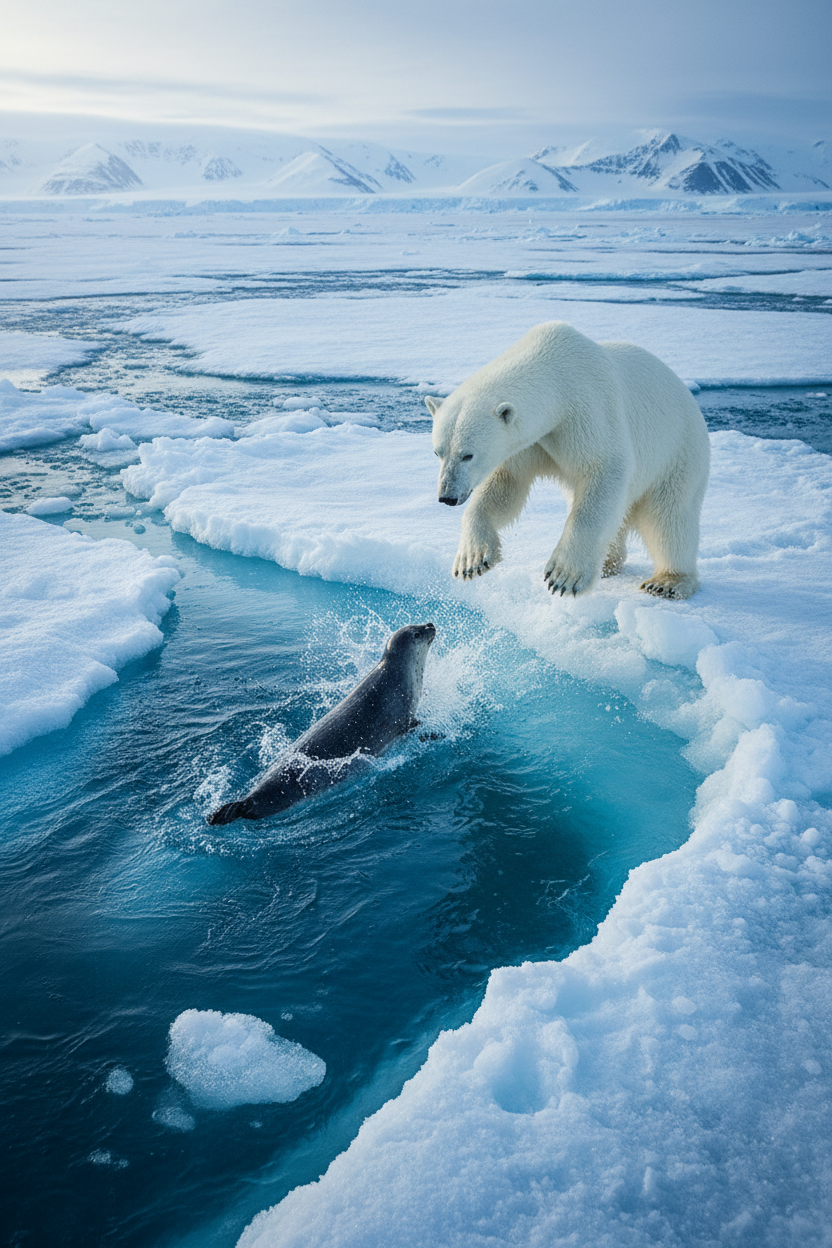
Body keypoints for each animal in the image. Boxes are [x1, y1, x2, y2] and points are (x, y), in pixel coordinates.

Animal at [425, 321, 710, 600]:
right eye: (438, 452)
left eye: (467, 455)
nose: (447, 496)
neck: (555, 375)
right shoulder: (531, 440)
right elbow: (505, 484)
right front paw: (471, 560)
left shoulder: (586, 410)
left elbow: (603, 470)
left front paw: (564, 576)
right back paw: (607, 564)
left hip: (678, 449)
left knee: (668, 516)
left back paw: (667, 581)